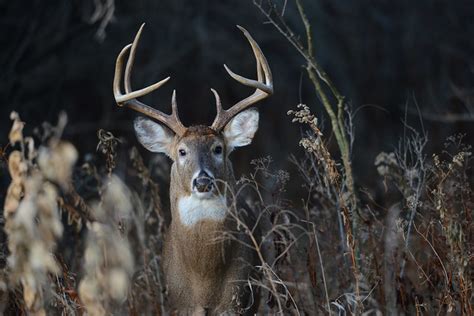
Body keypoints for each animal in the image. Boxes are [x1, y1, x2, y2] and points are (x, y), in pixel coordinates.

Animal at [112, 24, 272, 314]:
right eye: (181, 151)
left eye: (218, 148)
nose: (203, 181)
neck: (204, 282)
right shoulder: (179, 303)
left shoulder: (237, 298)